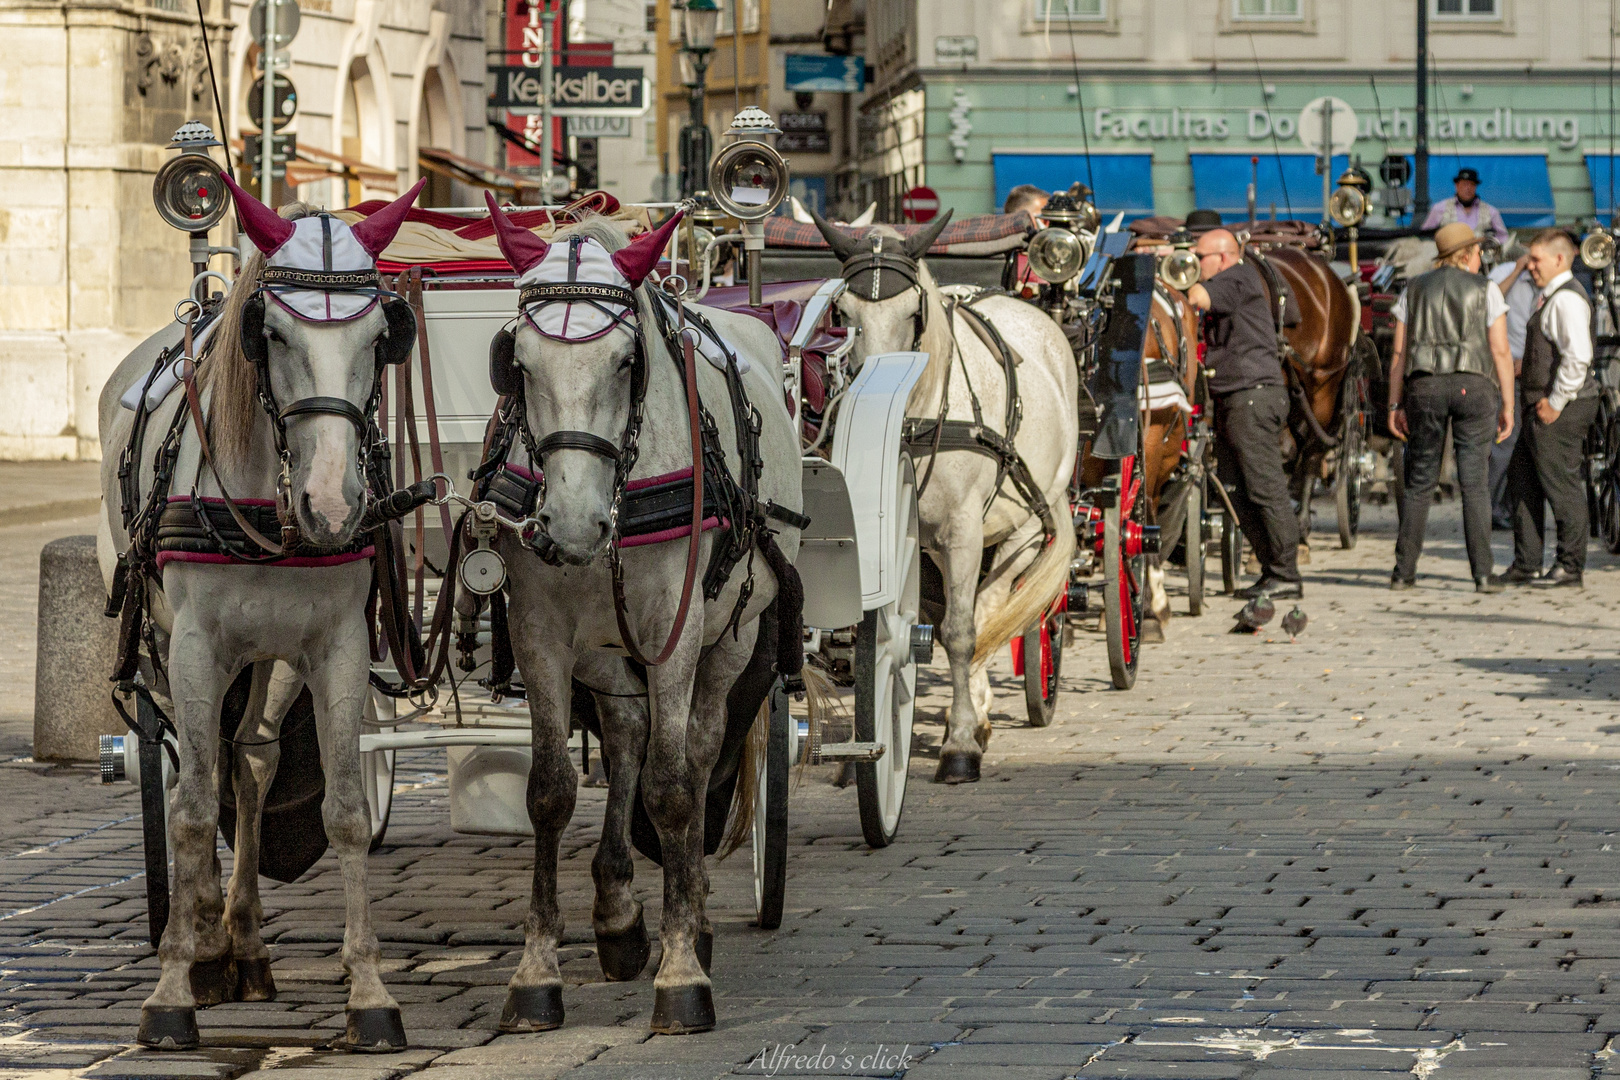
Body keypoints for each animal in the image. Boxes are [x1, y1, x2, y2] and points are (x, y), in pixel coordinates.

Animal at [93, 175, 424, 1049]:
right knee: (192, 769)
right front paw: (173, 986)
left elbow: (343, 810)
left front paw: (369, 990)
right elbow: (189, 808)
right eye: (269, 332)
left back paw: (240, 943)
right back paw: (204, 940)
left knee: (249, 760)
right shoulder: (194, 648)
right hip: (159, 649)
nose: (333, 506)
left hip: (271, 655)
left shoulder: (337, 645)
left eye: (381, 335)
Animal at [476, 198, 806, 1036]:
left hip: (732, 637)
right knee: (626, 739)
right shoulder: (539, 633)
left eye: (628, 362)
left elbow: (675, 786)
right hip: (607, 649)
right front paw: (537, 973)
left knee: (697, 746)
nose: (571, 524)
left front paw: (683, 971)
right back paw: (620, 912)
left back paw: (693, 918)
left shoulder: (674, 628)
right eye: (517, 363)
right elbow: (551, 791)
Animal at [810, 210, 1075, 786]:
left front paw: (958, 745)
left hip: (1022, 526)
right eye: (842, 312)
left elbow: (958, 631)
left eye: (914, 312)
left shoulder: (962, 534)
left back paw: (970, 715)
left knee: (983, 610)